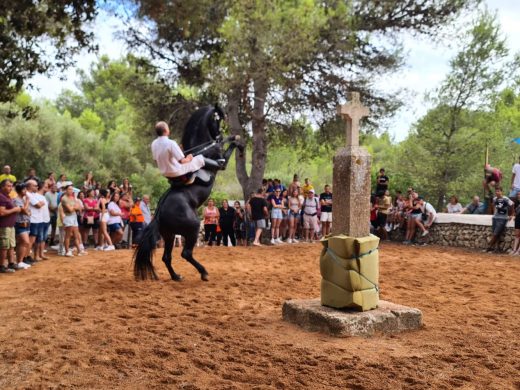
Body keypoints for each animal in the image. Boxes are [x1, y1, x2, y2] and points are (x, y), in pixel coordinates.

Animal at [132, 103, 242, 280]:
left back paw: (176, 276)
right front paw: (238, 142)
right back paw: (204, 273)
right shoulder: (221, 163)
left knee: (166, 257)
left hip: (169, 235)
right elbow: (231, 148)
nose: (218, 137)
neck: (203, 149)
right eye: (217, 119)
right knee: (186, 253)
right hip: (193, 228)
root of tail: (159, 213)